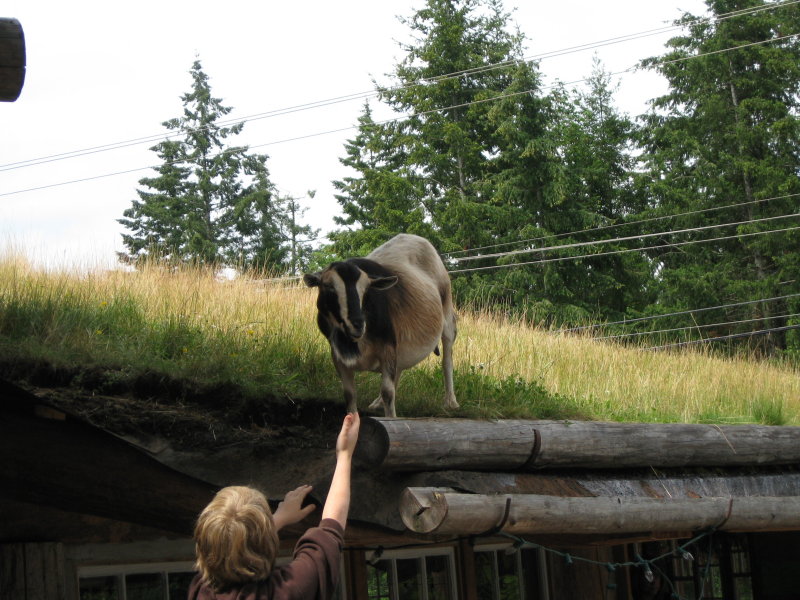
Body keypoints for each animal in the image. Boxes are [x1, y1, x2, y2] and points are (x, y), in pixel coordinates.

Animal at [304, 234, 460, 418]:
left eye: (366, 289)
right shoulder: (338, 355)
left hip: (446, 311)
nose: (357, 324)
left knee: (447, 356)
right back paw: (377, 403)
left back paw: (451, 402)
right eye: (328, 287)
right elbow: (350, 394)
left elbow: (388, 392)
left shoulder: (387, 346)